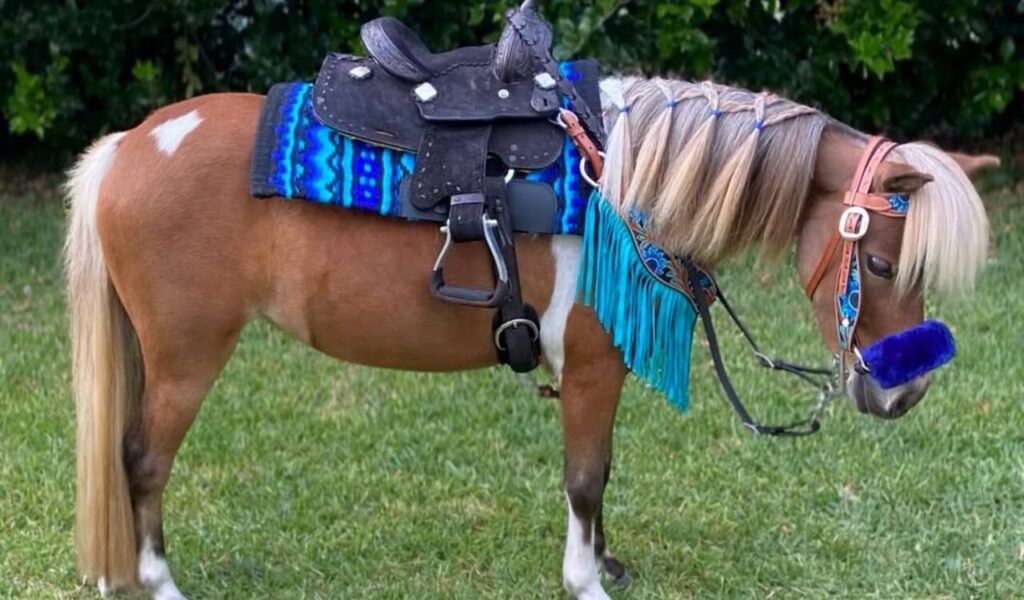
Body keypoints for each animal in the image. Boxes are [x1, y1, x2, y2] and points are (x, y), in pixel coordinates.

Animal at [64, 73, 993, 599]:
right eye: (881, 262)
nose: (903, 392)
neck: (622, 179)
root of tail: (129, 145)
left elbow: (602, 473)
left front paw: (608, 565)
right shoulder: (587, 368)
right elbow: (582, 479)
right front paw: (585, 583)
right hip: (187, 356)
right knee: (141, 461)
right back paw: (159, 584)